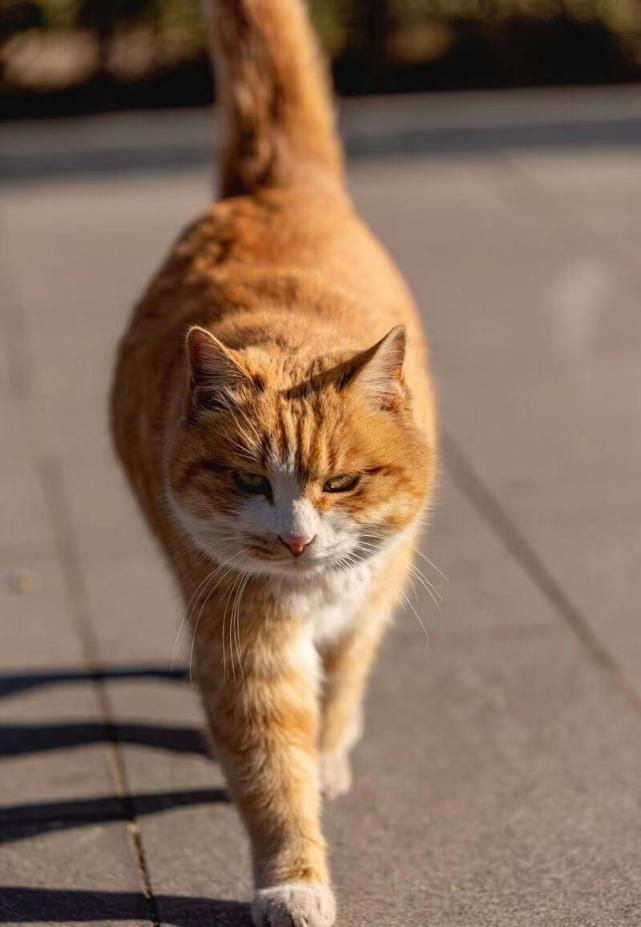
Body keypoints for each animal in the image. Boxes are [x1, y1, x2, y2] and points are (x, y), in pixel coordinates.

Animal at [112, 3, 438, 924]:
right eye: (248, 481)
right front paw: (292, 880)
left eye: (341, 482)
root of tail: (273, 188)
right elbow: (269, 771)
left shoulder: (373, 583)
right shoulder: (242, 639)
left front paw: (326, 756)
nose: (295, 539)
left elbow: (343, 683)